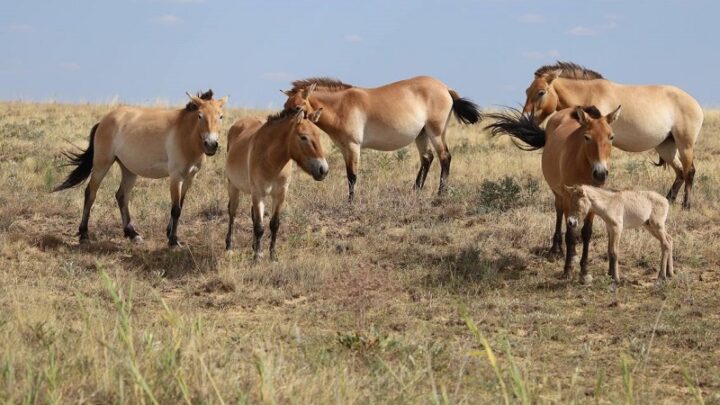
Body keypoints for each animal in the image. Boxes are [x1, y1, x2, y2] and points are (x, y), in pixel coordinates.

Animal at [53, 90, 227, 247]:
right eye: (200, 116)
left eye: (221, 116)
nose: (211, 145)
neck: (185, 134)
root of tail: (103, 121)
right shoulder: (176, 176)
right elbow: (176, 209)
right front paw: (173, 241)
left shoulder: (190, 177)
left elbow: (180, 205)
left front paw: (169, 233)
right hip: (102, 163)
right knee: (90, 193)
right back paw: (84, 235)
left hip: (129, 170)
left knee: (121, 196)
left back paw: (132, 234)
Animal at [225, 107, 328, 261]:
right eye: (303, 137)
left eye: (319, 135)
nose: (323, 170)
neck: (271, 160)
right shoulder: (258, 194)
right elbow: (259, 227)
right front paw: (257, 257)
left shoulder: (280, 194)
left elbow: (274, 224)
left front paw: (272, 255)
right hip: (233, 186)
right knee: (232, 212)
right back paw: (229, 247)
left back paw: (254, 247)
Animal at [282, 76, 483, 202]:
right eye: (285, 106)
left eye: (298, 107)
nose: (285, 129)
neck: (341, 106)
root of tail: (445, 88)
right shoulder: (344, 148)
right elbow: (349, 175)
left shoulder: (353, 146)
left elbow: (352, 175)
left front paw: (350, 203)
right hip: (422, 135)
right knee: (427, 158)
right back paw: (415, 191)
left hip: (436, 133)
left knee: (444, 158)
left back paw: (440, 194)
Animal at [486, 105, 621, 283]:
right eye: (587, 137)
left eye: (611, 137)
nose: (600, 174)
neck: (583, 165)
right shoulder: (568, 197)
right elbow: (570, 234)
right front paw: (567, 270)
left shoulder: (593, 201)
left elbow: (586, 233)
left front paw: (584, 270)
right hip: (559, 195)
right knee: (559, 213)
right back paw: (556, 249)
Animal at [522, 61, 704, 209]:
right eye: (527, 91)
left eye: (541, 92)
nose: (526, 118)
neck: (589, 93)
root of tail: (695, 104)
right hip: (666, 146)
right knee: (680, 172)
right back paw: (668, 200)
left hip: (685, 145)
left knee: (689, 171)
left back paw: (686, 205)